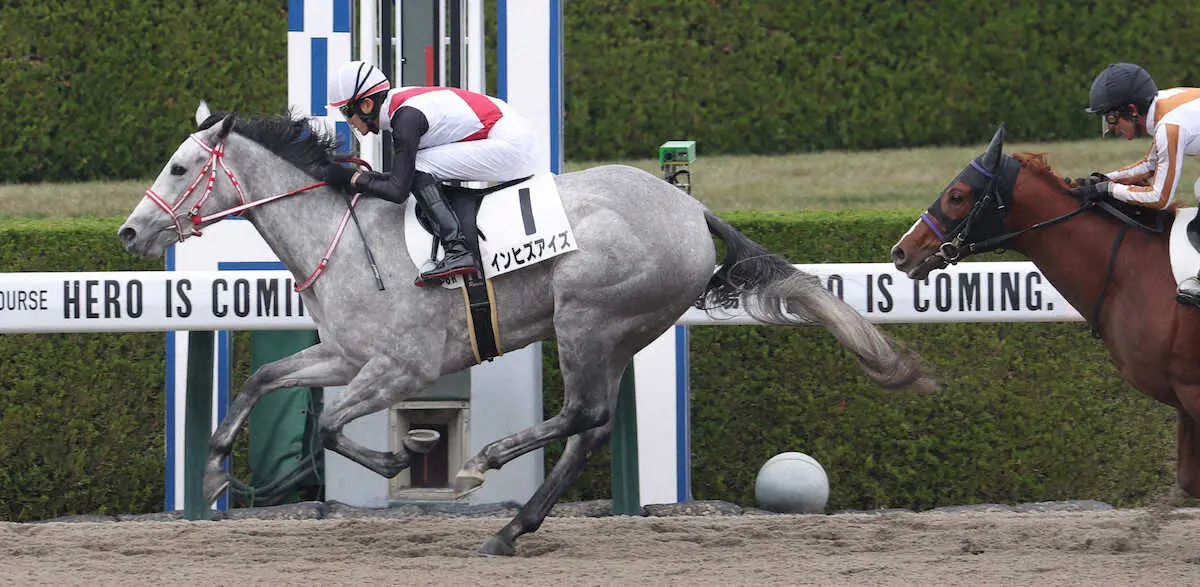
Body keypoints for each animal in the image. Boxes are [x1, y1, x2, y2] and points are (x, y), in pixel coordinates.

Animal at [118, 102, 932, 556]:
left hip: (587, 317)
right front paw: (215, 472)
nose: (130, 231)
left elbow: (330, 424)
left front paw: (405, 456)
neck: (346, 236)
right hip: (622, 331)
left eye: (180, 166)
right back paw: (512, 529)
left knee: (584, 413)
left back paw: (491, 462)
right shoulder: (346, 353)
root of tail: (691, 208)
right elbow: (264, 379)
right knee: (591, 427)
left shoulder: (401, 366)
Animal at [890, 124, 1200, 500]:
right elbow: (1189, 482)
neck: (1132, 269)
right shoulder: (1183, 399)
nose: (901, 251)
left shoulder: (1192, 391)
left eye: (957, 196)